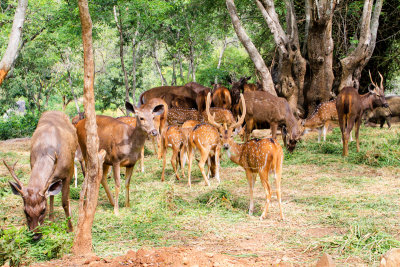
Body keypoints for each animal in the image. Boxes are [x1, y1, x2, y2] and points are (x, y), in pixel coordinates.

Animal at [5, 111, 77, 241]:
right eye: (25, 211)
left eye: (43, 210)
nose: (35, 235)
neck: (47, 151)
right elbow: (50, 195)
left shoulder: (67, 173)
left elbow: (64, 202)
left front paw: (70, 228)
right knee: (51, 194)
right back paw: (51, 219)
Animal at [206, 93, 284, 221]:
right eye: (221, 135)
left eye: (231, 136)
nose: (226, 146)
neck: (240, 153)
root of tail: (275, 149)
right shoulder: (254, 170)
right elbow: (253, 187)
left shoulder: (248, 168)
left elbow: (250, 188)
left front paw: (250, 211)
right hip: (278, 167)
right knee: (278, 189)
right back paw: (282, 216)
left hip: (263, 168)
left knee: (269, 191)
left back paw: (262, 215)